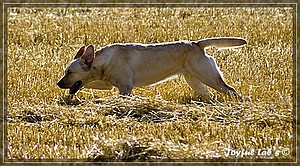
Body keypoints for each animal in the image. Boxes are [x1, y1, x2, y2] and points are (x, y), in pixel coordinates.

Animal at [56, 37, 246, 100]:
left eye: (70, 72)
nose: (58, 84)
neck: (103, 61)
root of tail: (197, 44)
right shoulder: (107, 84)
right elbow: (88, 83)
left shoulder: (125, 87)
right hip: (195, 81)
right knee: (210, 95)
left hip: (210, 78)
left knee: (232, 91)